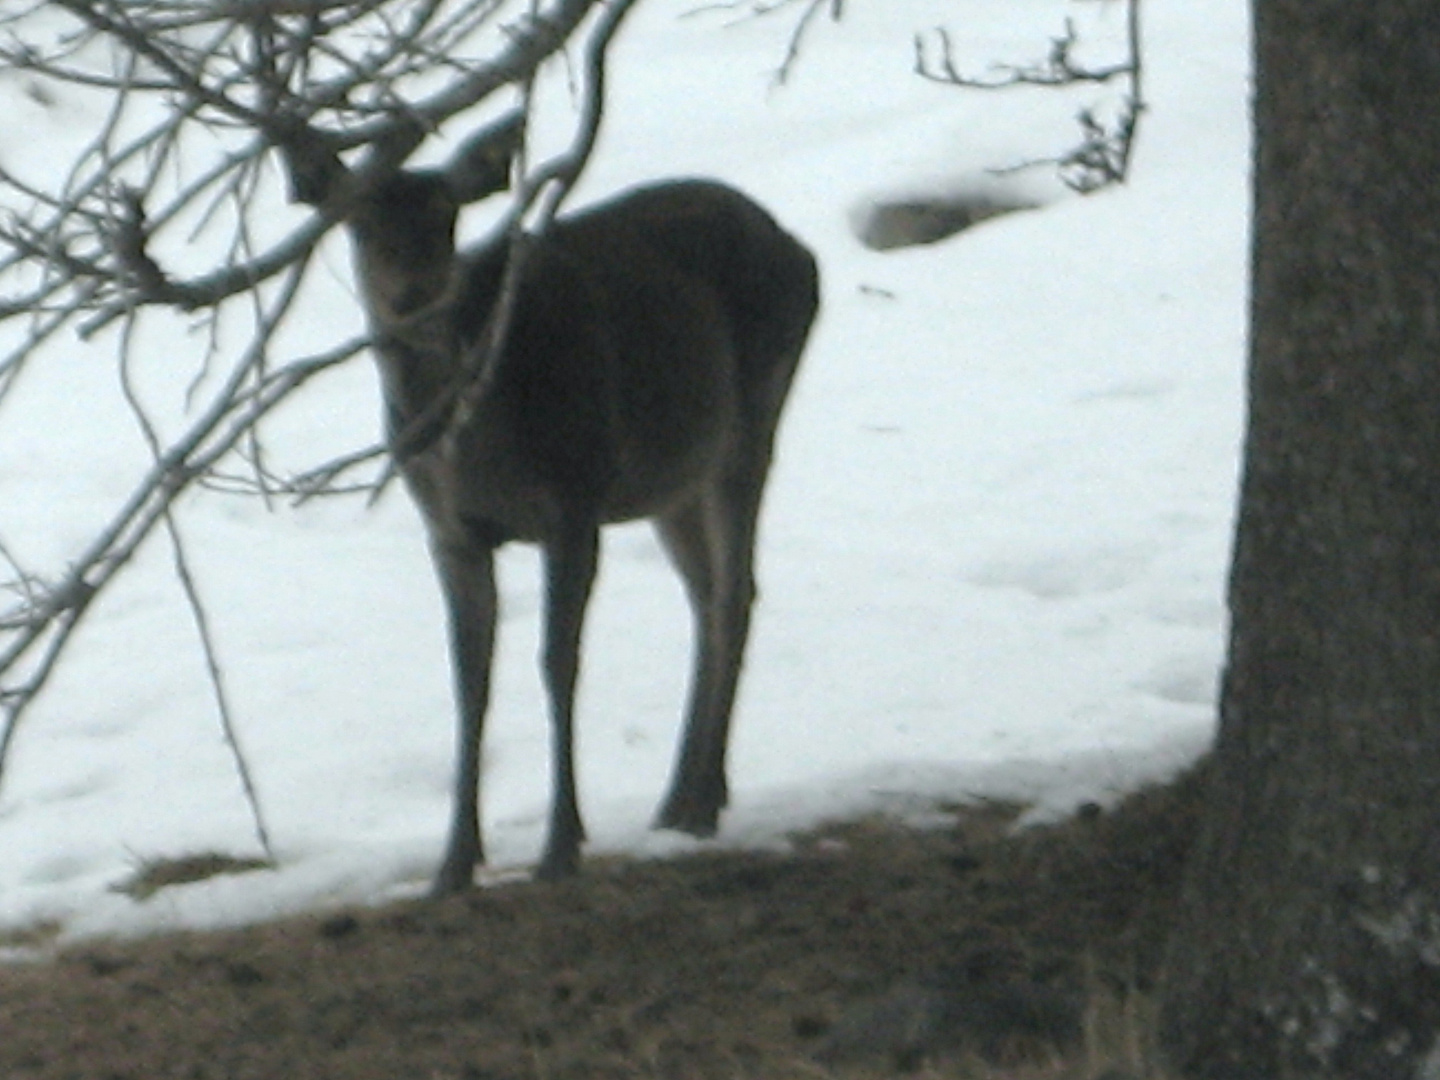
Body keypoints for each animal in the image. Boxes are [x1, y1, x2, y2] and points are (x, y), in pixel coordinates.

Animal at [286, 116, 817, 898]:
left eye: (446, 215)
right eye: (357, 220)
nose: (415, 292)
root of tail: (800, 249)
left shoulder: (575, 499)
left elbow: (557, 662)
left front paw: (561, 846)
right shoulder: (449, 530)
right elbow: (469, 681)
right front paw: (453, 863)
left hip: (750, 417)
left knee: (733, 593)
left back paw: (699, 802)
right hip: (671, 478)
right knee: (707, 594)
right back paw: (682, 797)